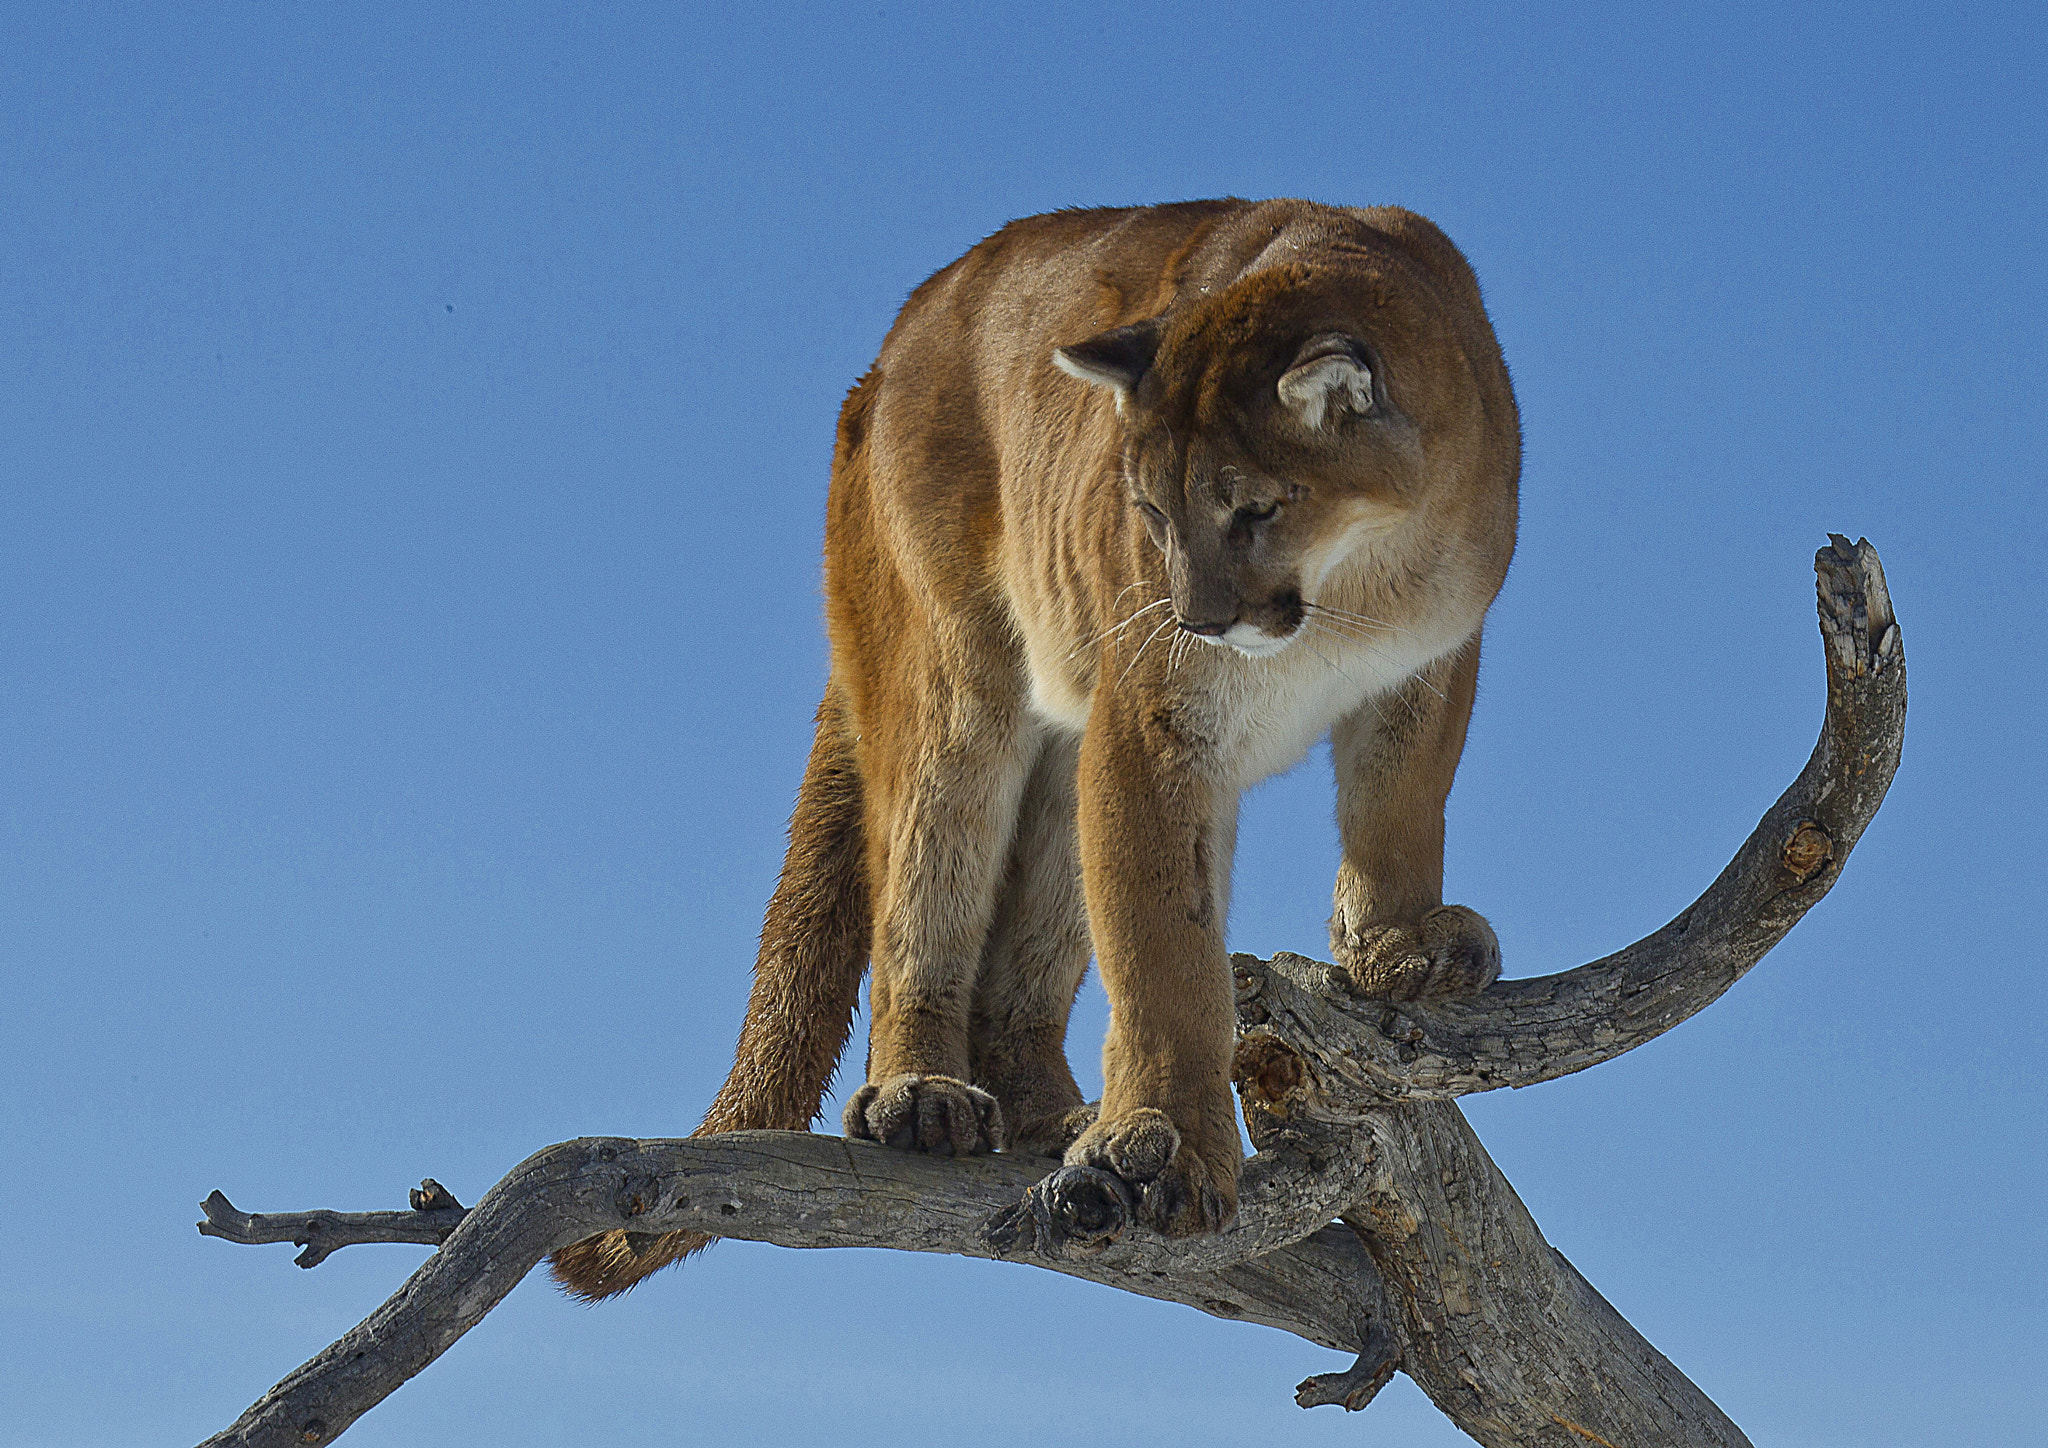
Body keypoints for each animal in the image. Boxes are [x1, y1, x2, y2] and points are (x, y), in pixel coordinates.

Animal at [552, 198, 1519, 1298]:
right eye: (1151, 512)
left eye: (1255, 506)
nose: (1196, 616)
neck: (1357, 585)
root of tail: (888, 350)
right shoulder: (1153, 723)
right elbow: (1164, 949)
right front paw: (1166, 1141)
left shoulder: (1431, 663)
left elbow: (1399, 806)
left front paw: (1397, 944)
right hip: (955, 684)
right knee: (923, 887)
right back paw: (921, 1097)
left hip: (1066, 756)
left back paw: (1045, 1112)